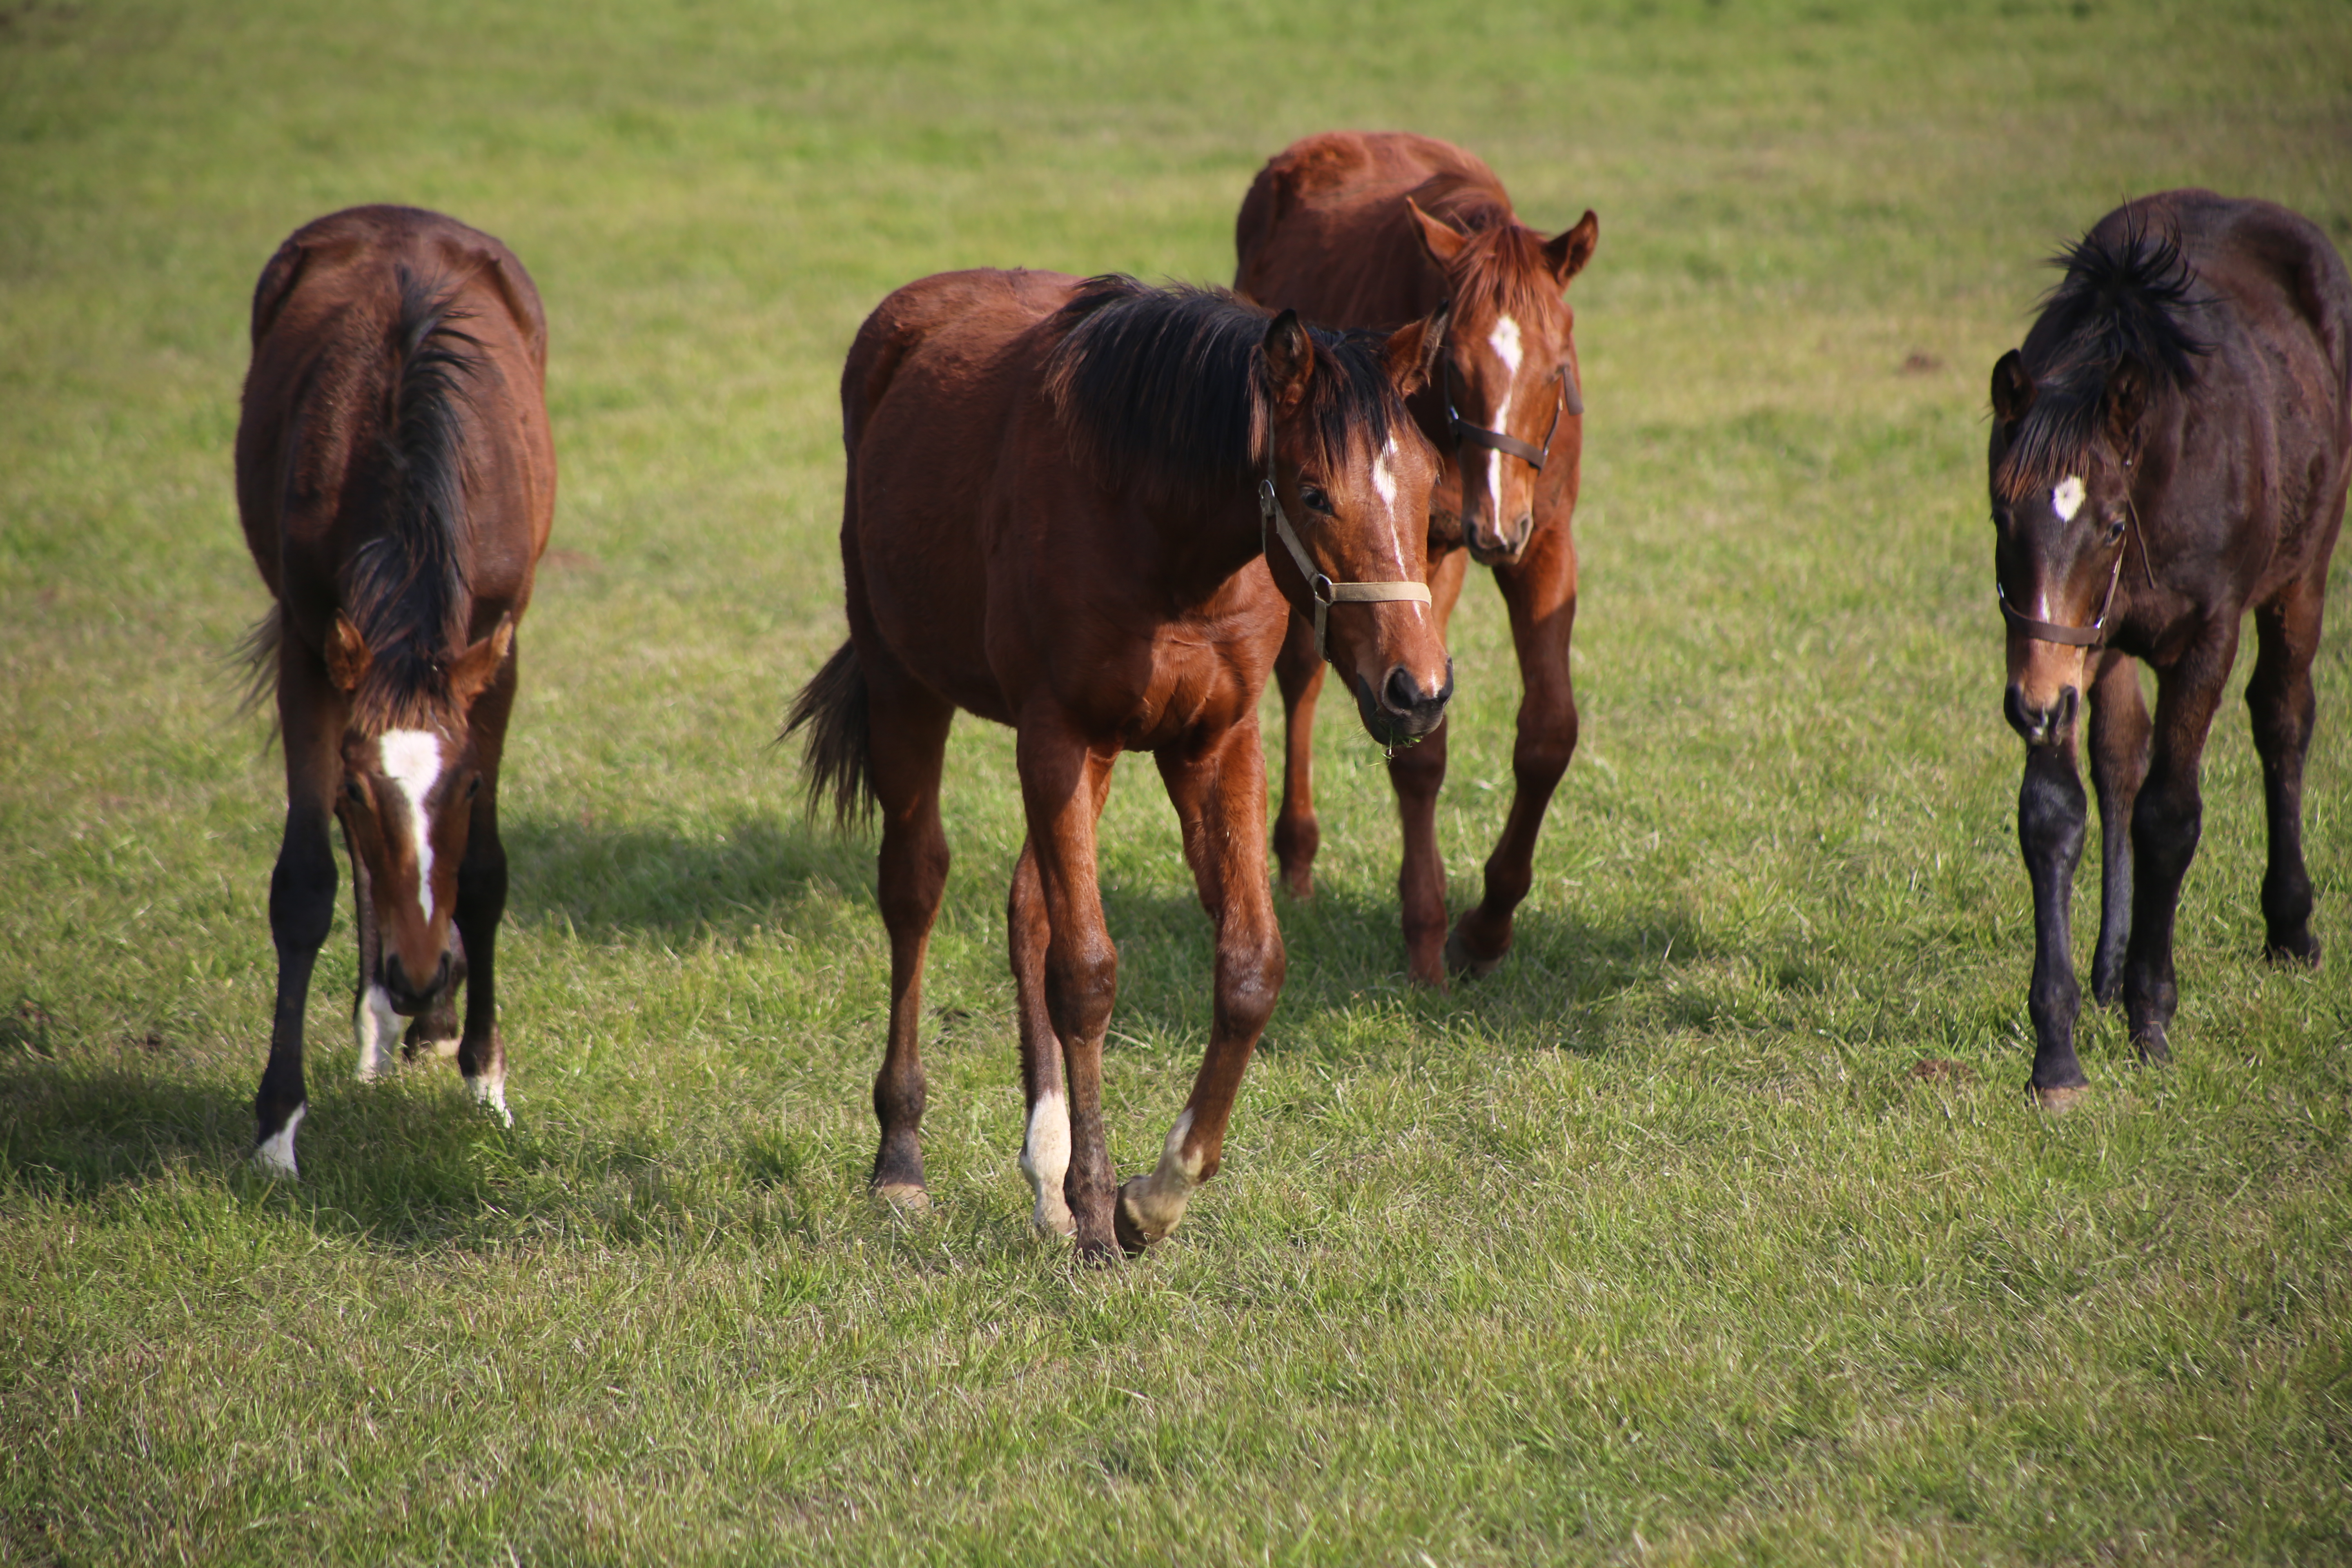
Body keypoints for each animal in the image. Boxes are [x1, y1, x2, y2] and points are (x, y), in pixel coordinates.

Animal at [236, 202, 557, 1171]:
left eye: (471, 789)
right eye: (355, 790)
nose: (420, 979)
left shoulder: (497, 652)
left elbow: (483, 872)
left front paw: (486, 1079)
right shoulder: (313, 648)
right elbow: (306, 882)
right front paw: (277, 1127)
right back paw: (383, 1021)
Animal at [790, 263, 1449, 1260]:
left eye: (1425, 486)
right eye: (1312, 493)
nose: (1418, 691)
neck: (1157, 524)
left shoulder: (1216, 740)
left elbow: (1250, 968)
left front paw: (1153, 1197)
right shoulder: (1057, 734)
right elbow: (1087, 975)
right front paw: (1103, 1215)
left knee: (1025, 903)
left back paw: (1046, 1178)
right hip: (906, 684)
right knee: (914, 888)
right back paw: (903, 1159)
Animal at [1232, 138, 1599, 992]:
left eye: (1555, 366)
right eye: (1453, 366)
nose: (1495, 525)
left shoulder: (1543, 540)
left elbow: (1548, 733)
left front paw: (1489, 928)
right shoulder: (1405, 557)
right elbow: (1420, 742)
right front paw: (1429, 935)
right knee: (1301, 672)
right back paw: (1296, 858)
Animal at [1985, 190, 2352, 1109]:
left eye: (2113, 525)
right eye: (2003, 516)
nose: (2030, 705)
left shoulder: (2206, 635)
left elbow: (2170, 814)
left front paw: (2152, 1020)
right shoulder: (2068, 646)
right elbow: (2057, 813)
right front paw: (2059, 1053)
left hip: (2304, 572)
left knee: (2283, 716)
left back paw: (2290, 928)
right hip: (2102, 649)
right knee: (2120, 757)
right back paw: (2108, 969)